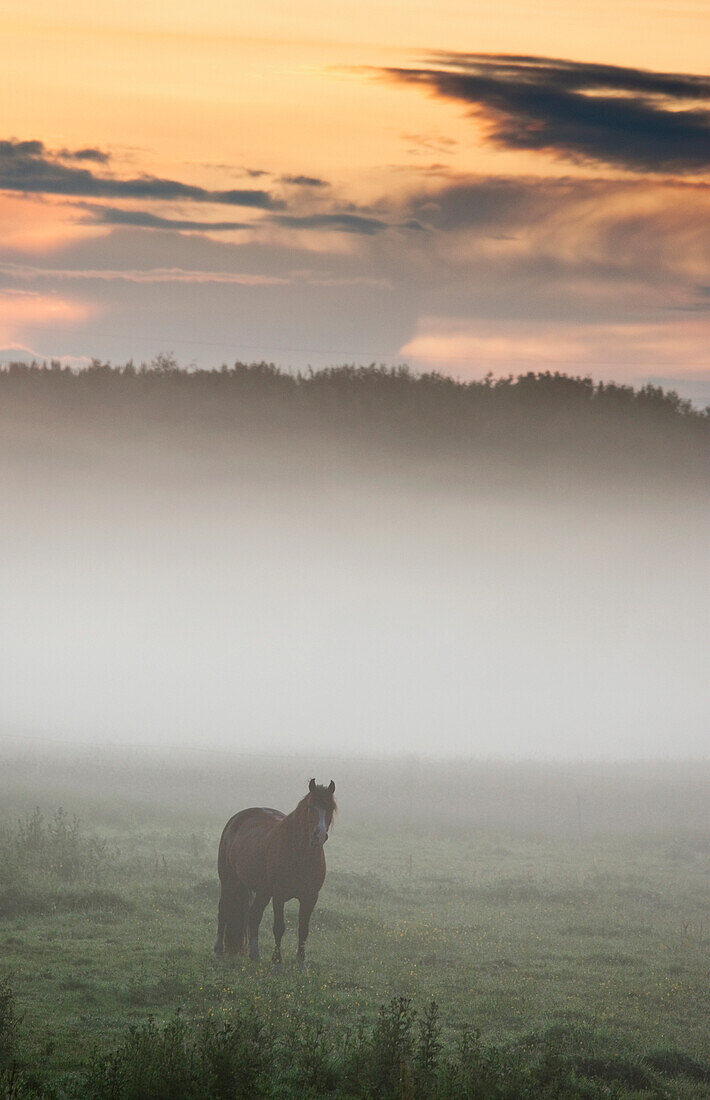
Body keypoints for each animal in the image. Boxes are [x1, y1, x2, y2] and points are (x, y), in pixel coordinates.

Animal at [213, 774, 334, 972]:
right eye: (311, 807)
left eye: (330, 808)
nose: (319, 836)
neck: (299, 853)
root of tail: (236, 819)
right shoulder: (279, 895)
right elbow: (279, 927)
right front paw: (277, 963)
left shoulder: (310, 897)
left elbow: (303, 930)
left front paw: (301, 964)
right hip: (229, 881)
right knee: (223, 910)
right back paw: (218, 950)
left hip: (262, 891)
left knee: (254, 916)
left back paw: (255, 954)